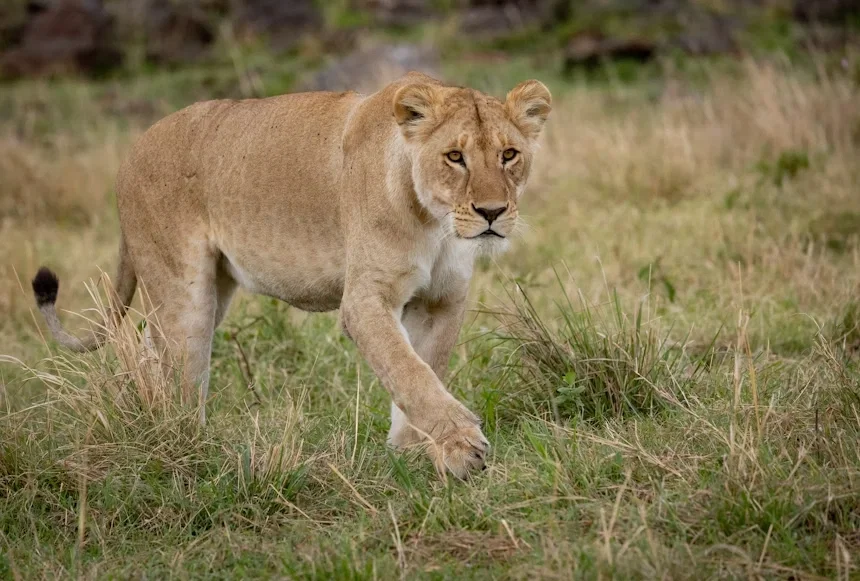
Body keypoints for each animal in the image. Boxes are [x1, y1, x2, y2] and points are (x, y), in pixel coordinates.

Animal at [31, 72, 551, 479]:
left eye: (508, 155)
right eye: (454, 157)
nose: (492, 212)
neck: (437, 225)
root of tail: (133, 148)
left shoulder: (443, 301)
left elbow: (426, 367)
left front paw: (414, 451)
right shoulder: (365, 300)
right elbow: (409, 371)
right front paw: (461, 446)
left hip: (215, 287)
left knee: (147, 347)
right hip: (183, 291)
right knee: (179, 366)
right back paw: (182, 441)